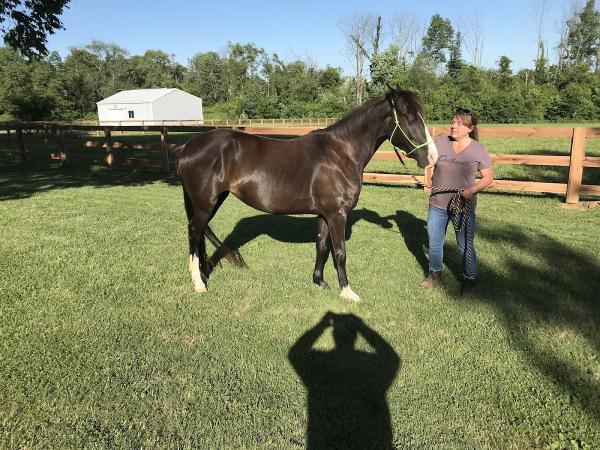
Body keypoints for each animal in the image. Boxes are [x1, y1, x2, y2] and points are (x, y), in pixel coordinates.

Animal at [176, 86, 438, 300]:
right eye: (409, 117)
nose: (432, 157)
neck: (341, 152)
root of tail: (187, 146)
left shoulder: (324, 214)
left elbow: (321, 246)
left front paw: (320, 282)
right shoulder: (337, 214)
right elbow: (340, 252)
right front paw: (347, 292)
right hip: (205, 205)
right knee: (194, 234)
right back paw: (199, 283)